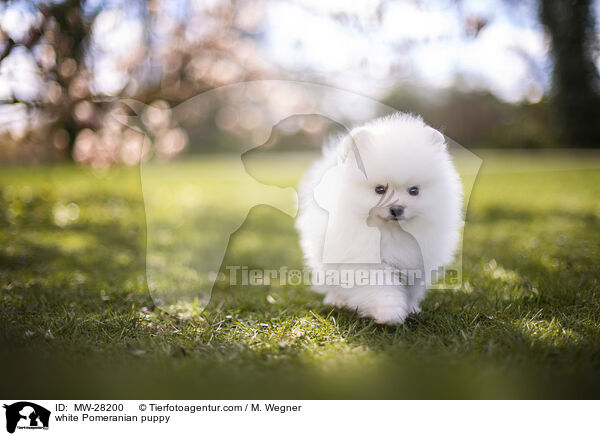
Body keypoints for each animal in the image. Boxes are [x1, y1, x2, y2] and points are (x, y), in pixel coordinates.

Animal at [298, 114, 462, 326]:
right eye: (380, 189)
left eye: (414, 191)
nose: (397, 209)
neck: (390, 232)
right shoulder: (365, 262)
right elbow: (381, 288)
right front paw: (390, 314)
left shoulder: (415, 262)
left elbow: (411, 289)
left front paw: (410, 308)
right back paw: (337, 300)